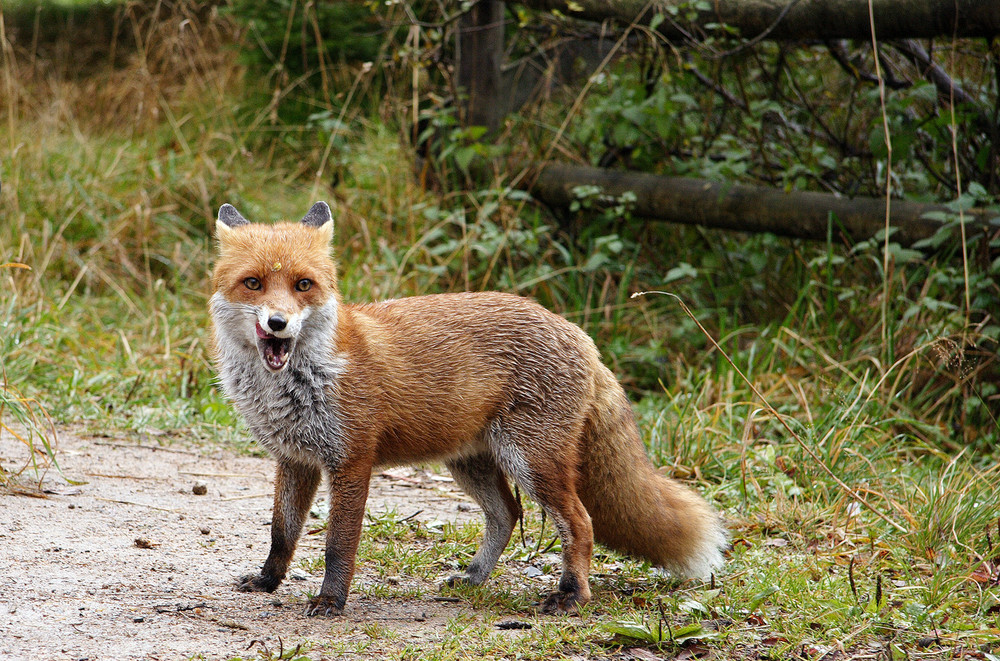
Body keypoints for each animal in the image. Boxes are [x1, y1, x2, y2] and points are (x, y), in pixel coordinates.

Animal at [211, 201, 728, 612]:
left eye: (303, 285)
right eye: (253, 283)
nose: (278, 323)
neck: (303, 380)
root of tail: (580, 335)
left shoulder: (352, 461)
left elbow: (339, 545)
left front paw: (331, 600)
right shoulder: (294, 459)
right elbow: (282, 533)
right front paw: (268, 581)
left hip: (532, 461)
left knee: (581, 523)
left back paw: (571, 595)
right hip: (473, 462)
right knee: (507, 515)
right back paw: (476, 577)